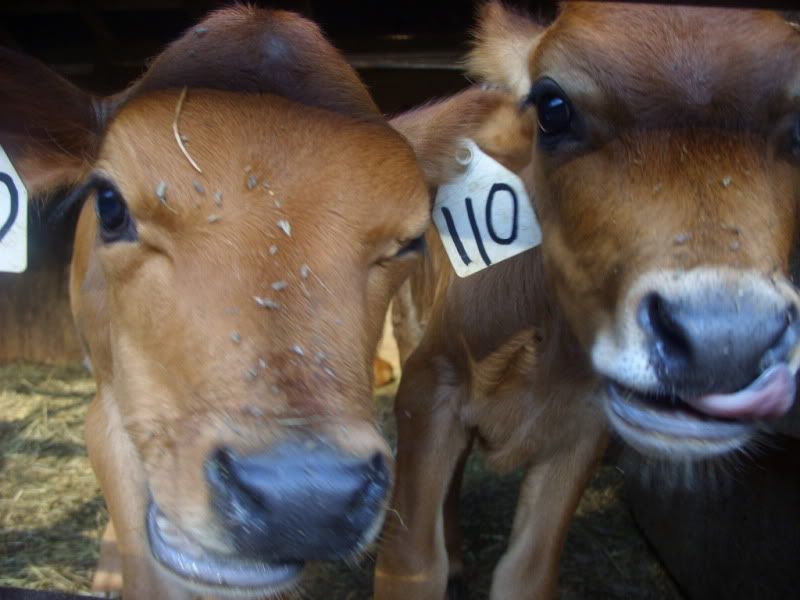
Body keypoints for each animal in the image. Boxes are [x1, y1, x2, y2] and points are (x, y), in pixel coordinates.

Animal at [374, 2, 800, 599]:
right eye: (553, 107)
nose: (726, 339)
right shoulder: (429, 382)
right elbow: (411, 561)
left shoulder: (584, 428)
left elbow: (526, 574)